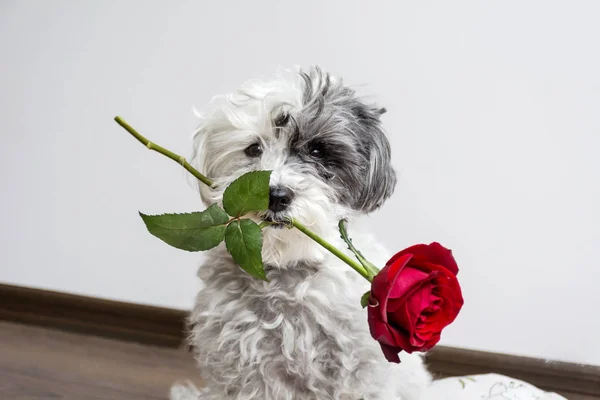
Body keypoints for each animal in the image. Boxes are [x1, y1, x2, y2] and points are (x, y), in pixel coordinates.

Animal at [171, 67, 434, 398]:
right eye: (254, 149)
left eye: (317, 150)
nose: (275, 195)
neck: (287, 271)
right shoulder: (243, 370)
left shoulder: (359, 373)